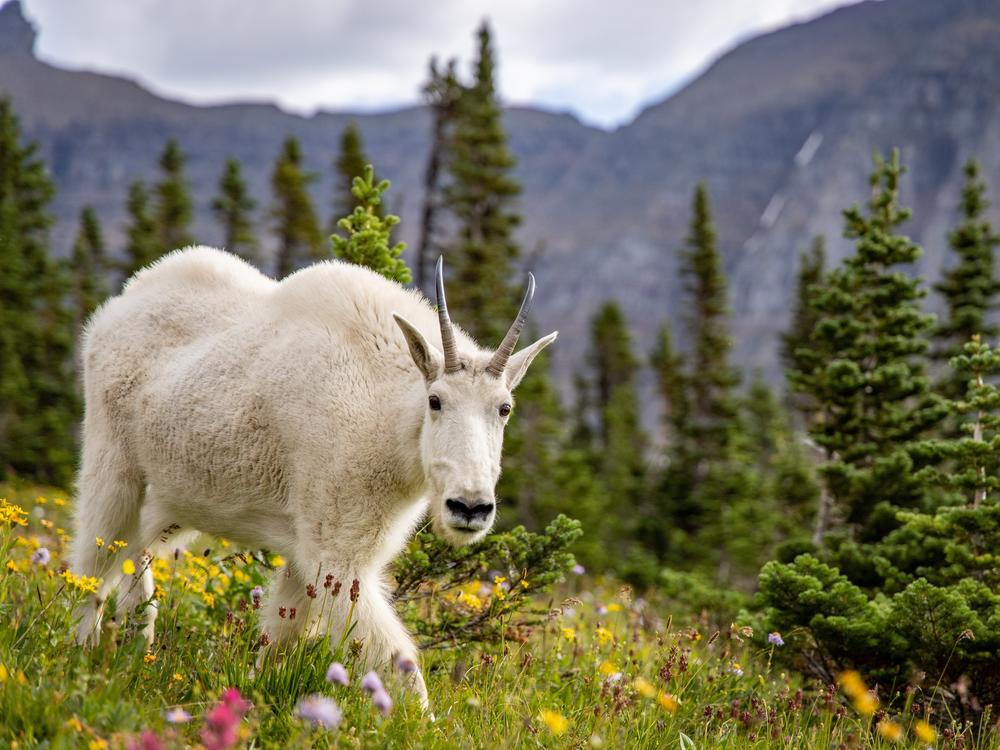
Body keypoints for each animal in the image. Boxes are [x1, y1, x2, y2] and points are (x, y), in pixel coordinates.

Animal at [70, 245, 556, 704]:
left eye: (504, 408)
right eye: (435, 401)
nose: (470, 507)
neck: (386, 414)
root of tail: (116, 307)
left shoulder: (307, 551)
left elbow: (279, 637)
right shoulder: (337, 551)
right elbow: (399, 661)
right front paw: (427, 724)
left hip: (174, 497)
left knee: (136, 553)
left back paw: (137, 649)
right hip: (112, 460)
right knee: (93, 560)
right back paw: (77, 654)